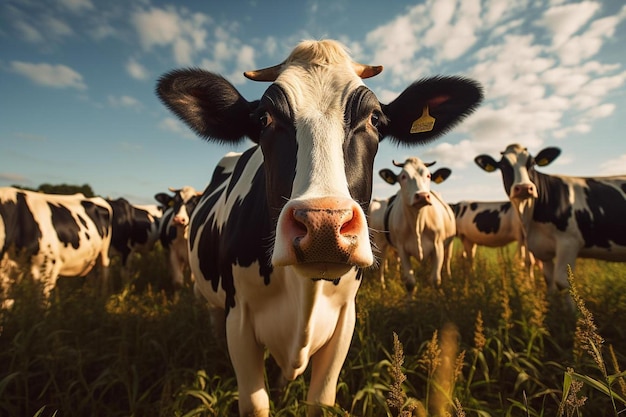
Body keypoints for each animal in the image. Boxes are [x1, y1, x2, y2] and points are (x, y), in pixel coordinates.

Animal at [368, 157, 456, 292]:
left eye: (429, 175)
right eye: (403, 176)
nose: (422, 196)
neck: (417, 223)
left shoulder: (438, 246)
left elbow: (435, 280)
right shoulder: (402, 249)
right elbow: (410, 283)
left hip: (449, 244)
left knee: (447, 259)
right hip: (380, 242)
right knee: (381, 263)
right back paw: (382, 285)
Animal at [472, 144, 624, 300]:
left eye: (532, 163)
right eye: (503, 165)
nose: (524, 188)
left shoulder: (569, 243)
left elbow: (562, 283)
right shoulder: (542, 250)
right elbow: (549, 281)